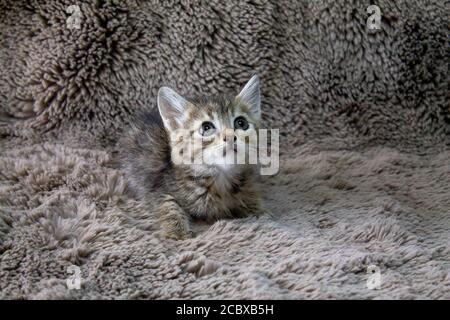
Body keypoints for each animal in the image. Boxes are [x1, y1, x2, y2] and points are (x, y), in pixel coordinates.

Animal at [121, 75, 266, 240]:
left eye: (241, 123)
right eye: (206, 127)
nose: (230, 137)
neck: (219, 179)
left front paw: (259, 211)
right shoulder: (156, 188)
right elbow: (167, 204)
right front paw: (177, 232)